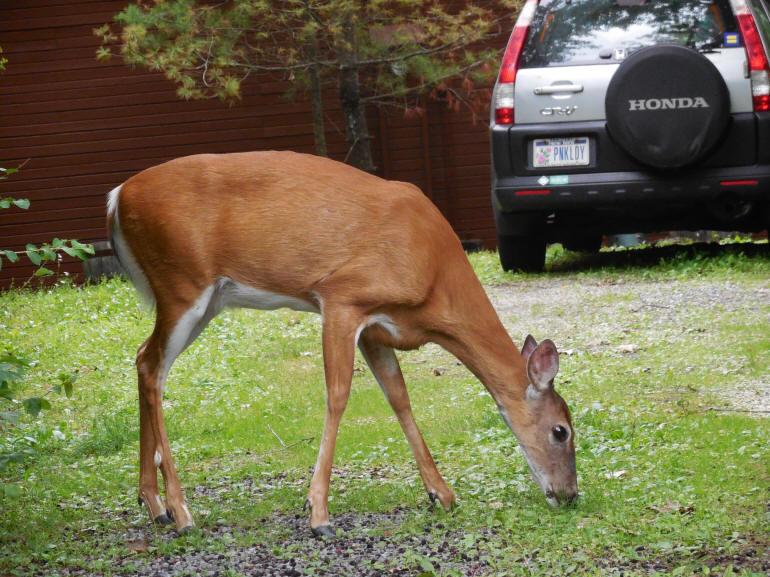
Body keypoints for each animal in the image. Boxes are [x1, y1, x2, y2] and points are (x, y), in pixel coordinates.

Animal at [106, 150, 577, 537]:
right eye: (561, 431)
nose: (570, 494)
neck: (433, 281)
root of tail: (116, 198)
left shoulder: (377, 328)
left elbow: (399, 397)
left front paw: (440, 493)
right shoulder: (343, 297)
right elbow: (338, 395)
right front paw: (318, 514)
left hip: (203, 299)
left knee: (143, 358)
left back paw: (154, 505)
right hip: (181, 283)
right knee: (153, 367)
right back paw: (181, 512)